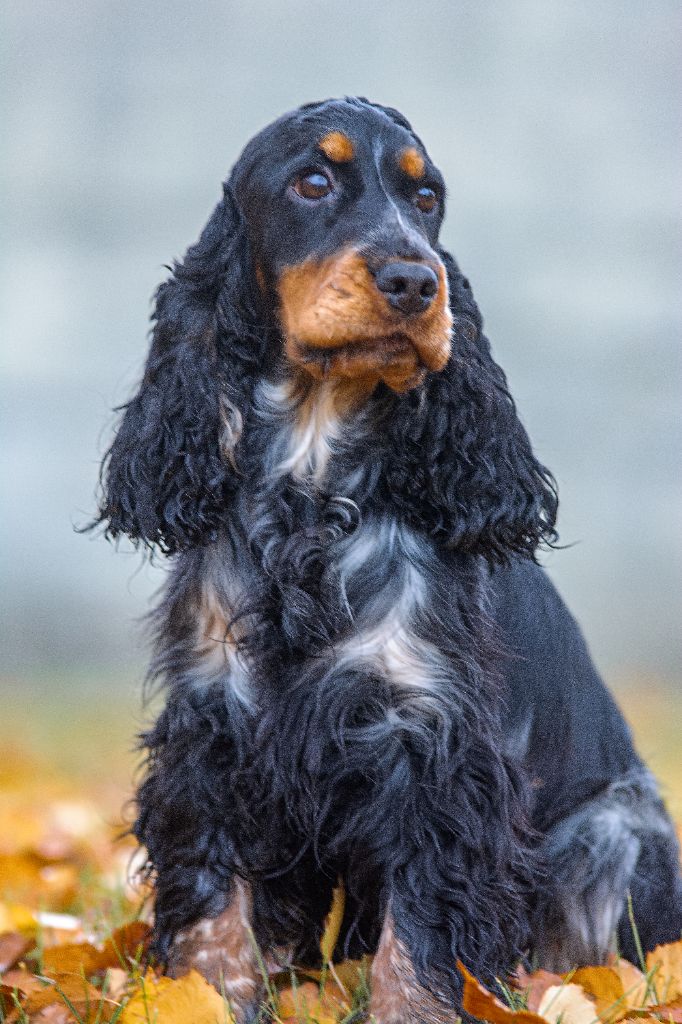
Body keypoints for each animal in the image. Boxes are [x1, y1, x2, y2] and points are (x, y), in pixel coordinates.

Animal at [91, 94, 679, 1015]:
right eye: (312, 181)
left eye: (426, 196)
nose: (414, 281)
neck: (310, 486)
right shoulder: (212, 735)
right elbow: (214, 911)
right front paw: (205, 1001)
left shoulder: (434, 751)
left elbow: (424, 933)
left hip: (610, 832)